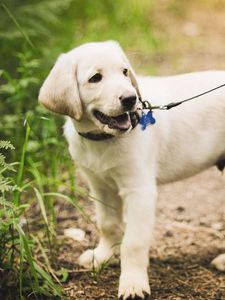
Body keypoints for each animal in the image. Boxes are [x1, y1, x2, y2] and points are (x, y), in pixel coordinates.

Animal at [38, 40, 225, 300]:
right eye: (96, 78)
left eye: (125, 71)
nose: (130, 98)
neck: (102, 140)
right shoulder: (100, 186)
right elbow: (107, 224)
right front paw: (104, 257)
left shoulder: (140, 190)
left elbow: (134, 242)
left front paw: (133, 284)